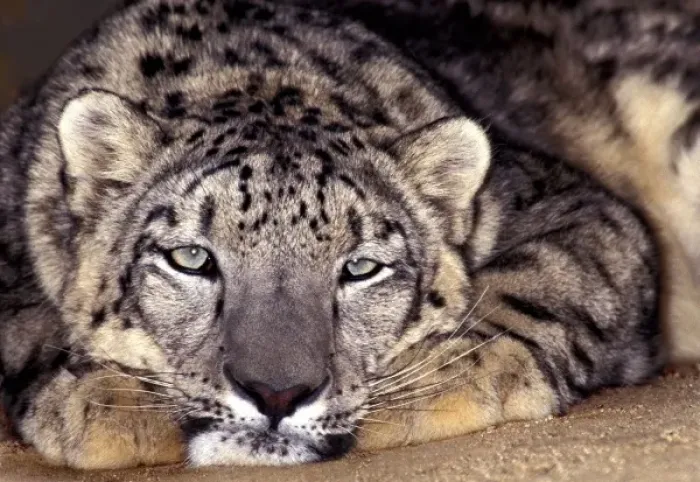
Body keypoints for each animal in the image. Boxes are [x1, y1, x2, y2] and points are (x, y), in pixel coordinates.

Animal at [0, 0, 698, 470]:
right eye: (191, 258)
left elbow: (549, 274)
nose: (277, 393)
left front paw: (446, 372)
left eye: (361, 268)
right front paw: (101, 393)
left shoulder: (569, 200)